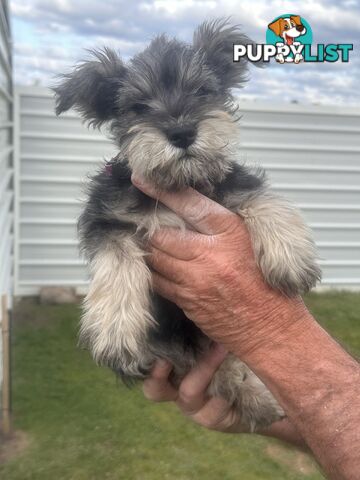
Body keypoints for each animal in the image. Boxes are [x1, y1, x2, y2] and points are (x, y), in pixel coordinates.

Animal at [53, 19, 320, 432]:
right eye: (138, 106)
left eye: (201, 91)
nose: (181, 133)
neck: (178, 184)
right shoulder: (106, 218)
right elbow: (117, 261)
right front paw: (114, 328)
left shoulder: (229, 186)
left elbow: (263, 198)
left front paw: (290, 256)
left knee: (227, 363)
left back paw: (257, 396)